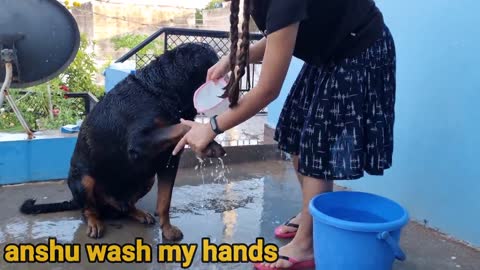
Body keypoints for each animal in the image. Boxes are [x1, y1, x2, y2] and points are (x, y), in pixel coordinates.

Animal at [19, 42, 226, 240]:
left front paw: (167, 230)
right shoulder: (139, 141)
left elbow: (164, 201)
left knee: (125, 206)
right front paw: (210, 145)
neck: (161, 91)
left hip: (147, 179)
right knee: (88, 209)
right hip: (83, 180)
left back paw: (137, 213)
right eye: (216, 63)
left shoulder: (169, 161)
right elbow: (183, 127)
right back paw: (94, 222)